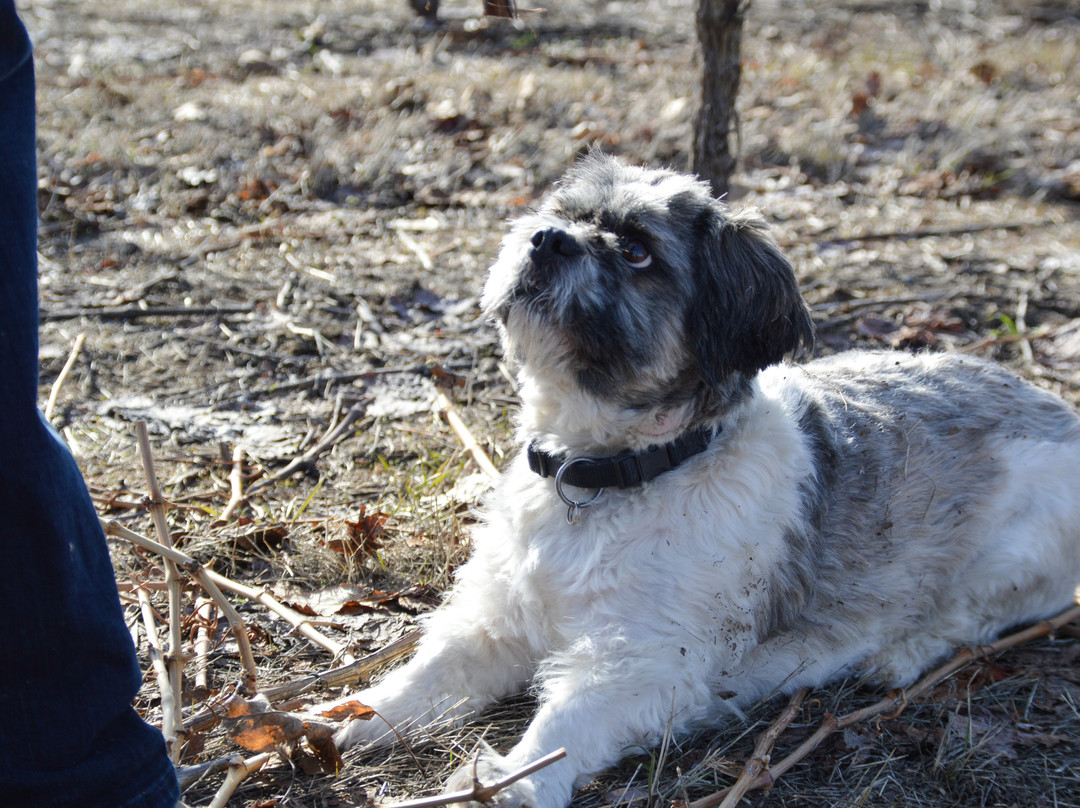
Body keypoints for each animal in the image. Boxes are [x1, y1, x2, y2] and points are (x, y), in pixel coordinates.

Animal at [315, 154, 1080, 803]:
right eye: (562, 212)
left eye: (636, 251)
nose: (548, 239)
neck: (604, 477)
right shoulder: (495, 620)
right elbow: (428, 675)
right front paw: (346, 719)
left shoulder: (646, 662)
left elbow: (564, 725)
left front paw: (509, 783)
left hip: (1017, 550)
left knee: (974, 617)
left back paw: (900, 651)